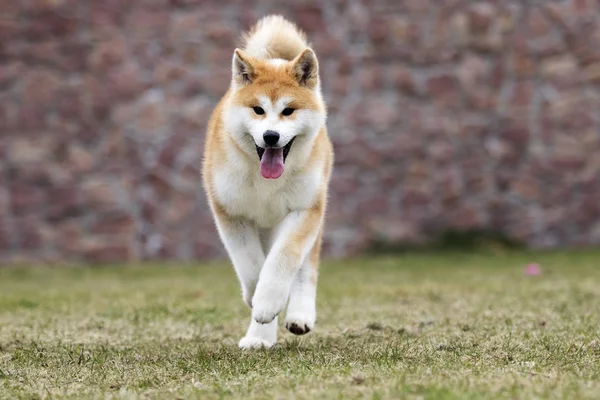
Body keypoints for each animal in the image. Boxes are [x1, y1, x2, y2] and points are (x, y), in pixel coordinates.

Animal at [202, 14, 332, 348]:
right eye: (258, 110)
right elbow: (250, 265)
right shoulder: (230, 213)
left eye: (288, 111)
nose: (271, 136)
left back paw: (299, 315)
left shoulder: (304, 211)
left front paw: (269, 300)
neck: (266, 184)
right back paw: (259, 338)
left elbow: (283, 261)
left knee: (305, 269)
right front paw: (257, 302)